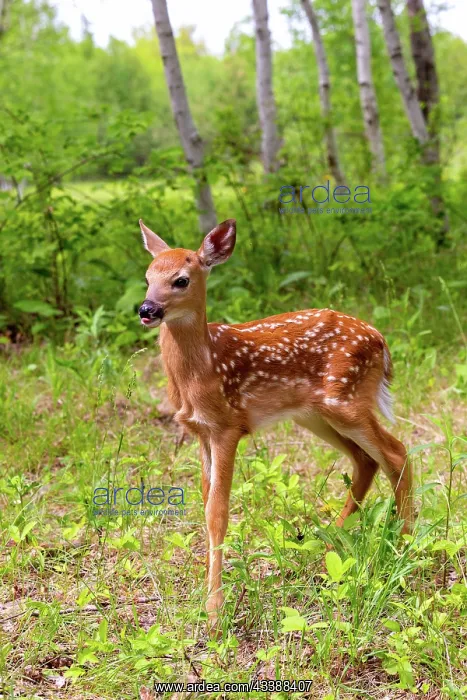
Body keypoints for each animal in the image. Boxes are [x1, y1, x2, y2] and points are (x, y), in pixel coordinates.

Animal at [137, 217, 413, 630]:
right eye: (147, 276)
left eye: (181, 280)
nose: (147, 309)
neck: (201, 372)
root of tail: (380, 340)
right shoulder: (200, 431)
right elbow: (204, 503)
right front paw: (206, 595)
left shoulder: (228, 426)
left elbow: (217, 513)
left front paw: (214, 612)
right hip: (315, 414)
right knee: (367, 460)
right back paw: (329, 545)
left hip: (346, 401)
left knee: (396, 452)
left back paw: (406, 547)